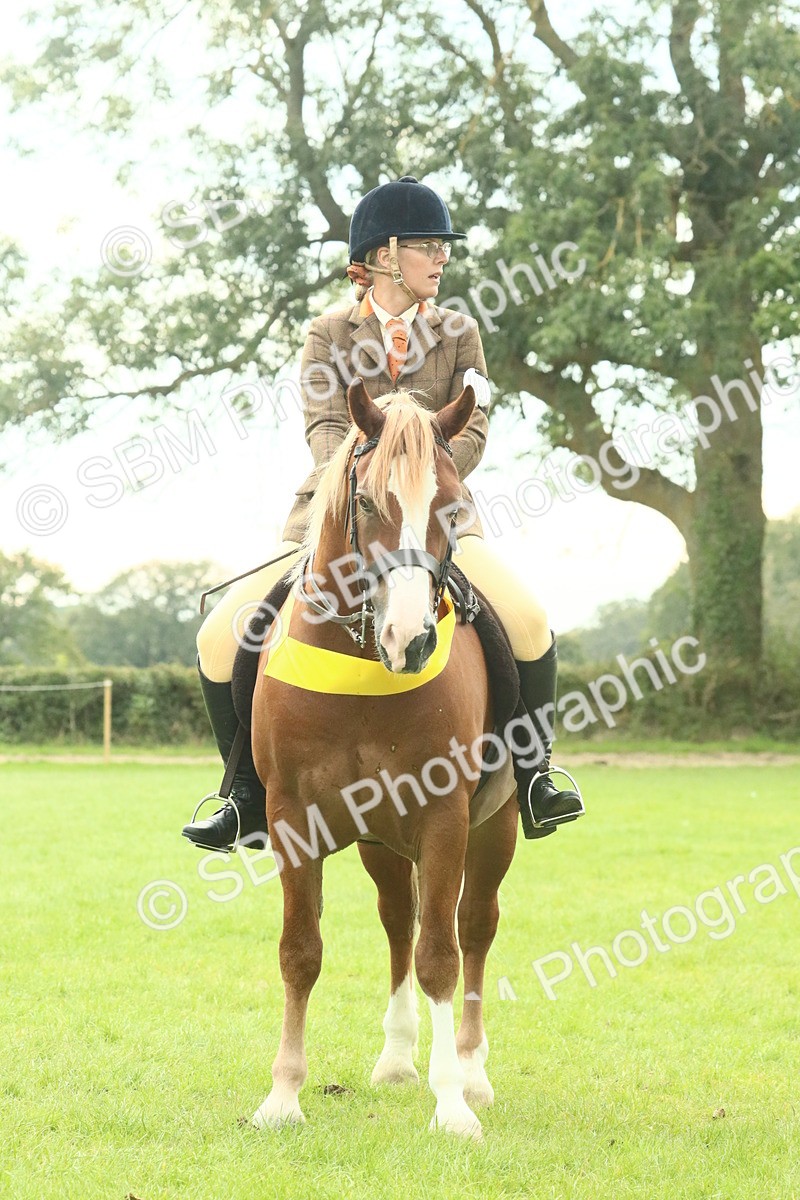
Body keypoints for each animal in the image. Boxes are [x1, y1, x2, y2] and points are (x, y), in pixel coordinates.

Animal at [249, 379, 519, 1140]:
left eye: (452, 504)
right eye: (368, 502)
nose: (413, 640)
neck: (361, 661)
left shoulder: (445, 817)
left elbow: (441, 958)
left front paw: (453, 1105)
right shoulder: (290, 818)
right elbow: (300, 951)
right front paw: (282, 1095)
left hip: (495, 827)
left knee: (472, 927)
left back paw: (472, 1071)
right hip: (379, 839)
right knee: (399, 918)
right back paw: (398, 1060)